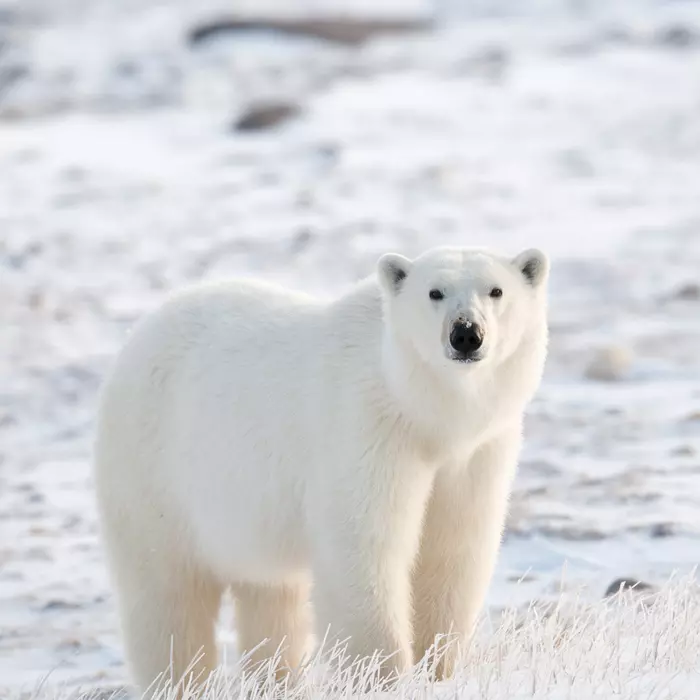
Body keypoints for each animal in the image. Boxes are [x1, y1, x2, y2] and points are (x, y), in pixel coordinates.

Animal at [93, 245, 549, 694]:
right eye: (435, 292)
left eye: (496, 290)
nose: (466, 333)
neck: (424, 413)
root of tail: (140, 332)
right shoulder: (367, 431)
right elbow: (365, 550)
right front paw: (382, 677)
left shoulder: (475, 453)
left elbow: (452, 550)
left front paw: (438, 670)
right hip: (154, 471)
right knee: (168, 596)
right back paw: (180, 681)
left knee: (270, 597)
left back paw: (275, 680)